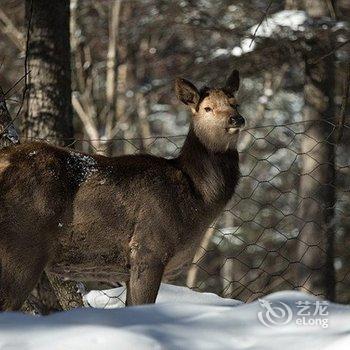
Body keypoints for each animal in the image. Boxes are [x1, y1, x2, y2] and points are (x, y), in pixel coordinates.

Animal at [0, 69, 245, 310]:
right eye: (207, 108)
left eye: (235, 103)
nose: (236, 118)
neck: (196, 199)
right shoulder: (148, 248)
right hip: (21, 243)